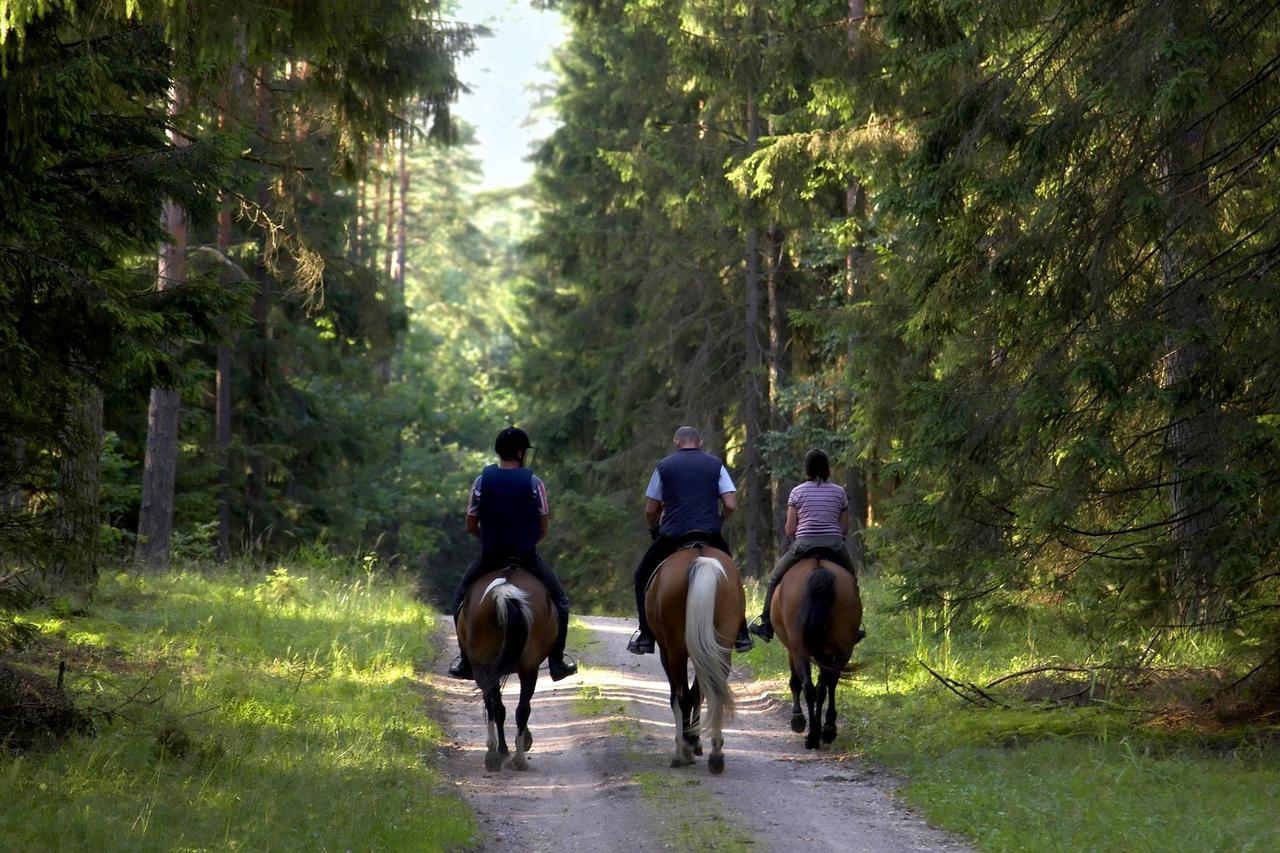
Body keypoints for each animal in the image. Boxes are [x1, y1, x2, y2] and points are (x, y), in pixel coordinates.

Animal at [455, 560, 555, 768]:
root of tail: (504, 591)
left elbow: (498, 706)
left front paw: (504, 748)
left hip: (484, 665)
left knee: (494, 704)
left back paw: (494, 752)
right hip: (528, 667)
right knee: (521, 709)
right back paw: (518, 758)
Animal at [645, 540, 747, 773]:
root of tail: (701, 559)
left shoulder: (666, 651)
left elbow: (680, 695)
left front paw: (689, 742)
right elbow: (698, 693)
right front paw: (695, 740)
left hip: (675, 651)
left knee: (681, 694)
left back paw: (682, 753)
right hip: (721, 646)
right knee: (713, 690)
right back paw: (716, 754)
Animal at [768, 550, 860, 742]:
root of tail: (819, 570)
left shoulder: (792, 649)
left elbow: (796, 682)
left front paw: (797, 719)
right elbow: (824, 685)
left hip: (800, 649)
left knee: (808, 686)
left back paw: (811, 734)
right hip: (844, 648)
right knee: (829, 684)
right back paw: (827, 729)